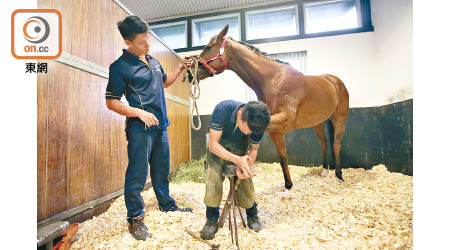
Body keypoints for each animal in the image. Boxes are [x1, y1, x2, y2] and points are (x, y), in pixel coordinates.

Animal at [192, 25, 350, 189]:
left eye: (208, 47)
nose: (192, 72)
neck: (274, 81)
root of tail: (335, 81)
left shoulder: (283, 121)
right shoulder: (276, 131)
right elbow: (282, 158)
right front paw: (288, 185)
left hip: (340, 120)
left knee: (336, 144)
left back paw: (339, 175)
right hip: (318, 123)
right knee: (323, 143)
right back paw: (324, 170)